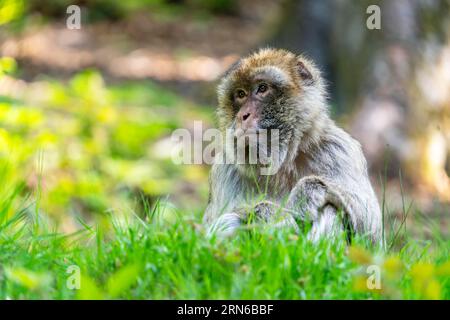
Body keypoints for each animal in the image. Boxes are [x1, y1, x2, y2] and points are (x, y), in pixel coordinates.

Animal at [204, 47, 384, 244]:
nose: (242, 116)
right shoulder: (225, 167)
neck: (282, 162)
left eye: (262, 88)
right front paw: (273, 216)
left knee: (331, 209)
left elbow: (371, 232)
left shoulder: (339, 149)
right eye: (241, 94)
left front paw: (305, 194)